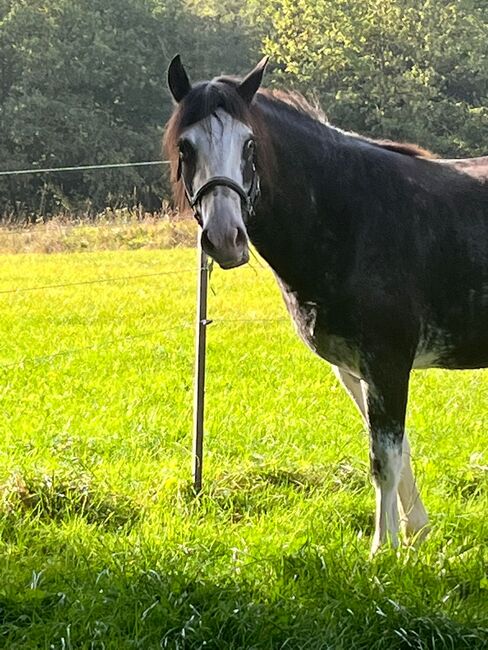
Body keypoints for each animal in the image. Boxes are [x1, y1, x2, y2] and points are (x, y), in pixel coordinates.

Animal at [164, 54, 488, 552]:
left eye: (249, 144)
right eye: (186, 146)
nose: (225, 239)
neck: (350, 214)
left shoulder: (388, 362)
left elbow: (383, 459)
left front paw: (382, 550)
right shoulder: (355, 370)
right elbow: (396, 446)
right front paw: (415, 533)